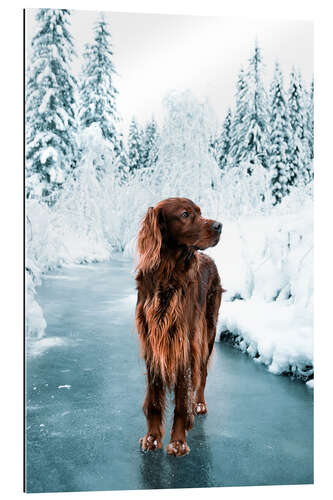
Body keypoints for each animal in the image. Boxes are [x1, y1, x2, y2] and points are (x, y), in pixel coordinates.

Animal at [135, 197, 223, 456]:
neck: (168, 274)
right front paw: (152, 439)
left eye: (200, 212)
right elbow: (155, 399)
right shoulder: (153, 343)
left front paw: (177, 443)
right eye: (185, 214)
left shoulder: (184, 344)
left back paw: (199, 404)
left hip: (208, 332)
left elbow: (183, 399)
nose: (219, 226)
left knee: (202, 374)